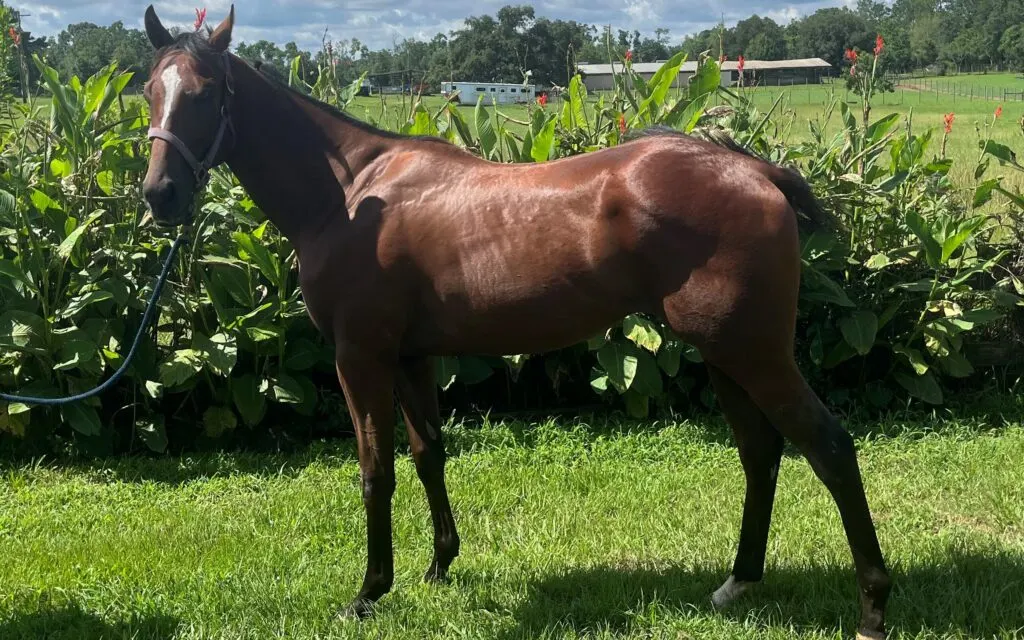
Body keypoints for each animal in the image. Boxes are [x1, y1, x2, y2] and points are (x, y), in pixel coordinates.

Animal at [140, 6, 892, 638]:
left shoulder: (360, 357)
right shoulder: (411, 357)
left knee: (829, 447)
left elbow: (375, 469)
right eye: (149, 91)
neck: (351, 194)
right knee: (761, 453)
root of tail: (753, 170)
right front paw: (439, 565)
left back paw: (872, 610)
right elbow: (428, 455)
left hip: (755, 353)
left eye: (205, 93)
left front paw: (369, 591)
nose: (160, 195)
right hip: (724, 354)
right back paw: (738, 583)